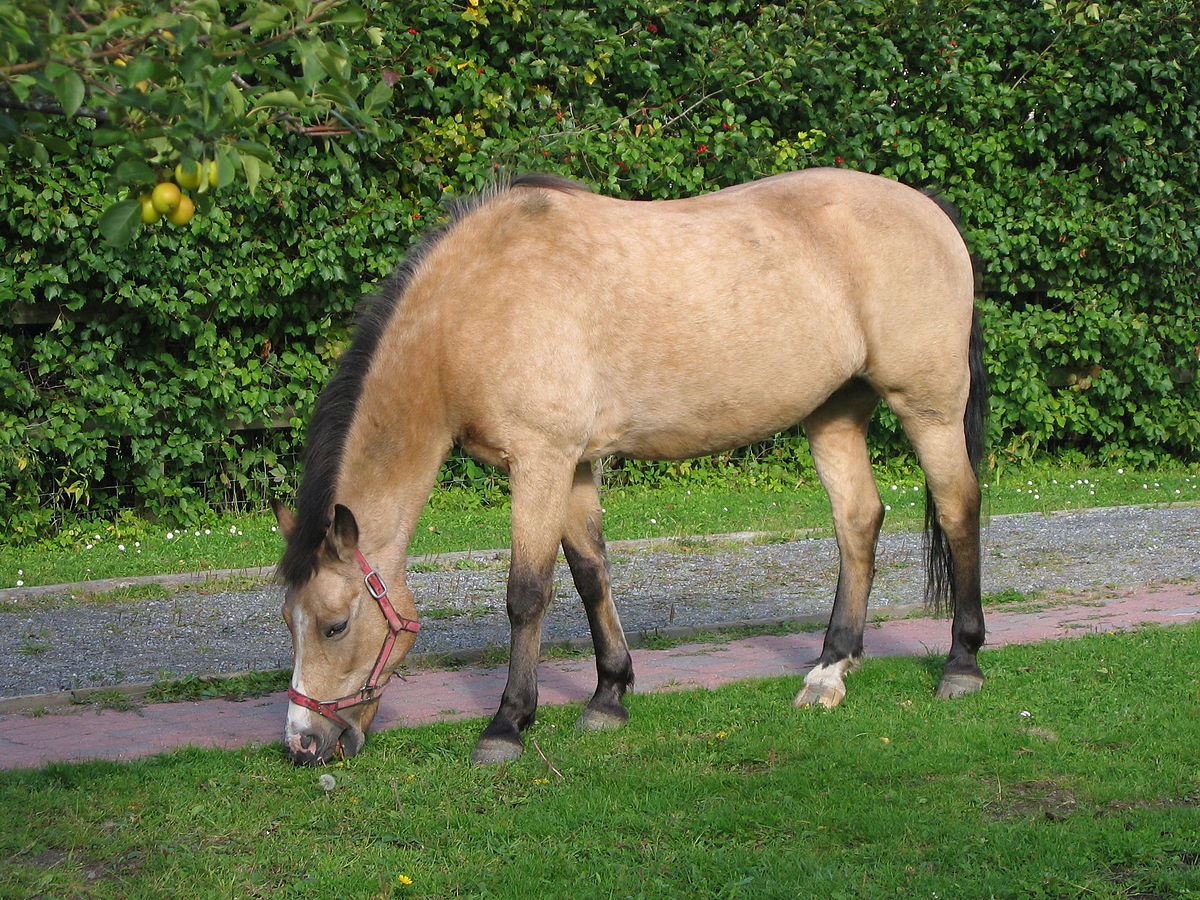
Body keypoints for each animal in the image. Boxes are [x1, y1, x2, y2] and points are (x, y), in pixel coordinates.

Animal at [272, 165, 984, 763]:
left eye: (335, 625)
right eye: (288, 623)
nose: (303, 744)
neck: (475, 305)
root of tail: (930, 210)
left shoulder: (540, 459)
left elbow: (527, 593)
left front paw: (507, 724)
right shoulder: (574, 465)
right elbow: (591, 574)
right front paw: (609, 697)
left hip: (929, 407)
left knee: (957, 508)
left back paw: (962, 664)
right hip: (835, 412)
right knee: (858, 521)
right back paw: (830, 671)